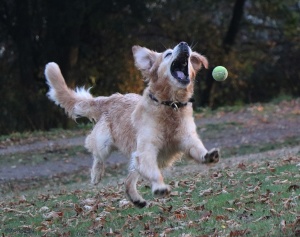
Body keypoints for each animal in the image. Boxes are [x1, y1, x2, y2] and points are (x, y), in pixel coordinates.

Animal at [44, 41, 219, 207]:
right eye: (168, 54)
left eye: (189, 57)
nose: (184, 44)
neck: (170, 105)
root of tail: (109, 98)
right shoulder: (146, 150)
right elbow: (154, 173)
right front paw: (160, 187)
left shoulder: (187, 138)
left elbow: (197, 148)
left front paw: (207, 155)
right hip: (104, 143)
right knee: (97, 155)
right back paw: (96, 174)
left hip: (139, 158)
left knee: (128, 181)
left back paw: (136, 199)